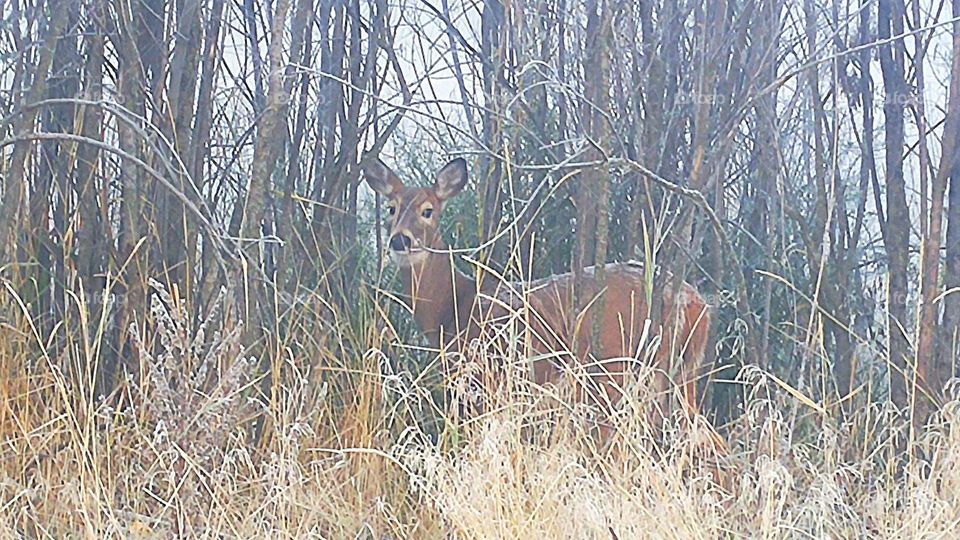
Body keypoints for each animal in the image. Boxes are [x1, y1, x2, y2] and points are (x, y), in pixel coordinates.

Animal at [362, 157, 712, 438]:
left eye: (428, 211)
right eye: (392, 209)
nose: (400, 240)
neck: (454, 305)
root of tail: (700, 306)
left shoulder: (484, 379)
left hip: (622, 366)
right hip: (678, 372)